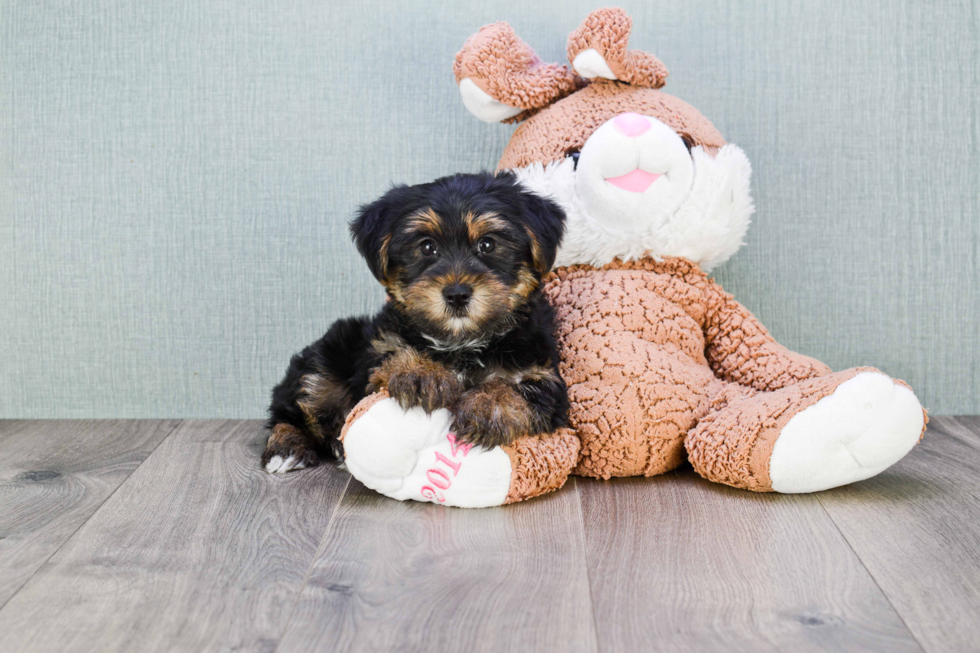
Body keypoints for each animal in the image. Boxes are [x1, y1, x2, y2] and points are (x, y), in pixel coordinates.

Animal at [262, 171, 568, 472]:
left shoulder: (544, 374)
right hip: (329, 351)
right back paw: (287, 447)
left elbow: (520, 388)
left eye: (488, 244)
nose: (457, 294)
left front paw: (487, 405)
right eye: (427, 247)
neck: (462, 342)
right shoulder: (378, 349)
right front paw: (421, 373)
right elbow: (394, 354)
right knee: (296, 403)